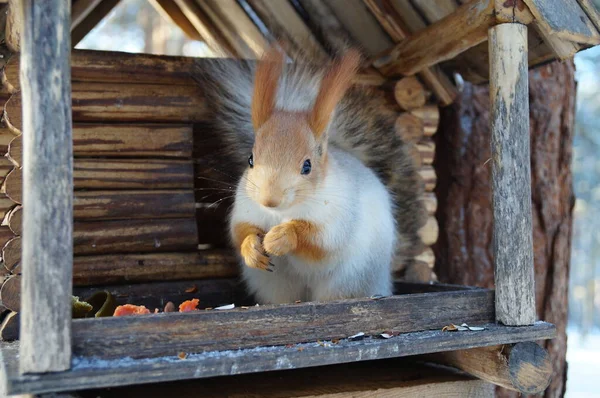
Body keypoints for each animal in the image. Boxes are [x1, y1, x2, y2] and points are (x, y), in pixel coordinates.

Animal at [195, 46, 424, 304]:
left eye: (307, 166)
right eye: (250, 160)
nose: (269, 200)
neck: (280, 213)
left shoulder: (338, 218)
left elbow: (318, 243)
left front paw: (283, 236)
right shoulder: (246, 210)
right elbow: (240, 231)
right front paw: (251, 248)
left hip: (348, 280)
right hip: (276, 285)